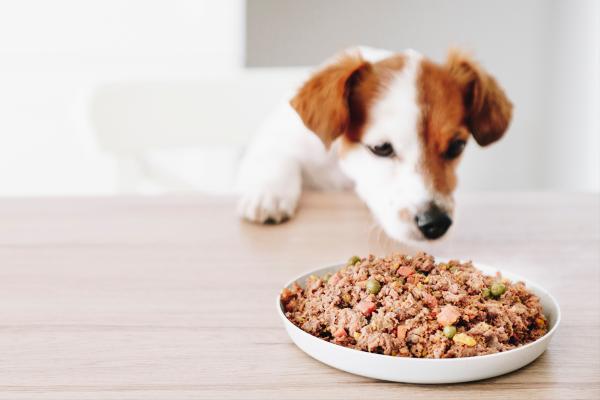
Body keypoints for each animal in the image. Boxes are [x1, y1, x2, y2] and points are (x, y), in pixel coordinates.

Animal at [234, 46, 510, 241]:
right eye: (381, 148)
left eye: (456, 146)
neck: (341, 168)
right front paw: (269, 194)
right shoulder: (279, 137)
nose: (436, 224)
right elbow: (277, 156)